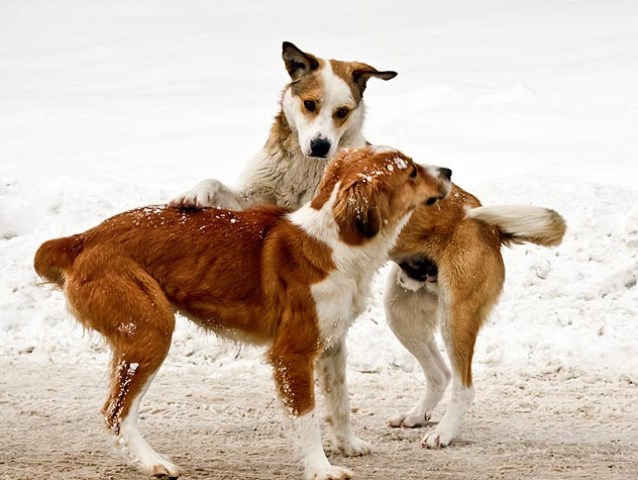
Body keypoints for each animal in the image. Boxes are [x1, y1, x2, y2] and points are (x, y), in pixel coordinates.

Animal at [35, 146, 456, 480]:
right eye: (412, 171)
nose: (449, 170)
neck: (335, 242)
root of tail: (84, 238)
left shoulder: (332, 345)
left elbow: (340, 403)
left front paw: (348, 444)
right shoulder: (292, 354)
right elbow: (307, 420)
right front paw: (320, 469)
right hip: (151, 330)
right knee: (116, 412)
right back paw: (153, 462)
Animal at [172, 42, 398, 211]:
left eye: (342, 112)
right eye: (309, 104)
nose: (320, 147)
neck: (303, 165)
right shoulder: (254, 196)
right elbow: (216, 183)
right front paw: (196, 193)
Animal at [382, 185, 568, 450]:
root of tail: (493, 230)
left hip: (454, 316)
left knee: (464, 387)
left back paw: (443, 432)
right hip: (401, 315)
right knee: (441, 375)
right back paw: (416, 415)